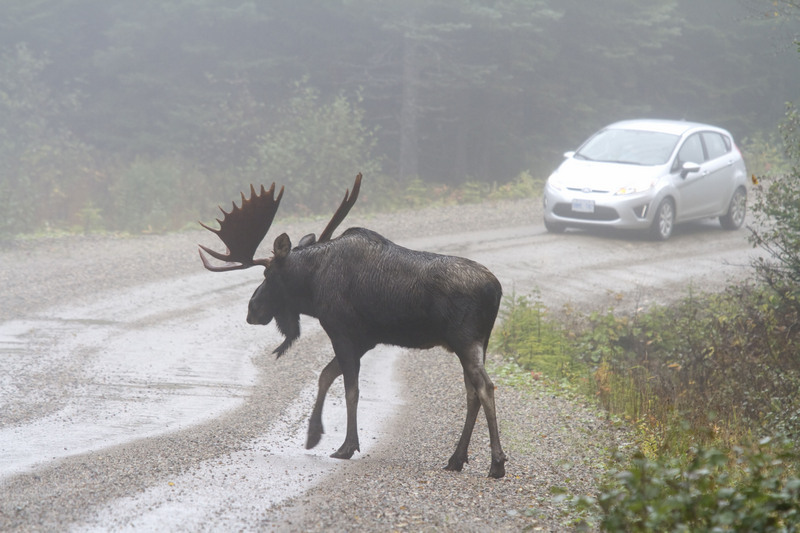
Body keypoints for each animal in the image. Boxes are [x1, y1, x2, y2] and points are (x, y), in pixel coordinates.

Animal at [200, 175, 510, 478]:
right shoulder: (363, 340)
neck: (312, 288)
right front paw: (313, 435)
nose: (252, 310)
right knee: (471, 392)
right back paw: (456, 458)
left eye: (268, 273)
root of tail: (496, 289)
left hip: (464, 338)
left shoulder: (342, 331)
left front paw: (346, 446)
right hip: (479, 341)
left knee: (485, 387)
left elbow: (351, 390)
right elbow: (326, 375)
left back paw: (496, 463)